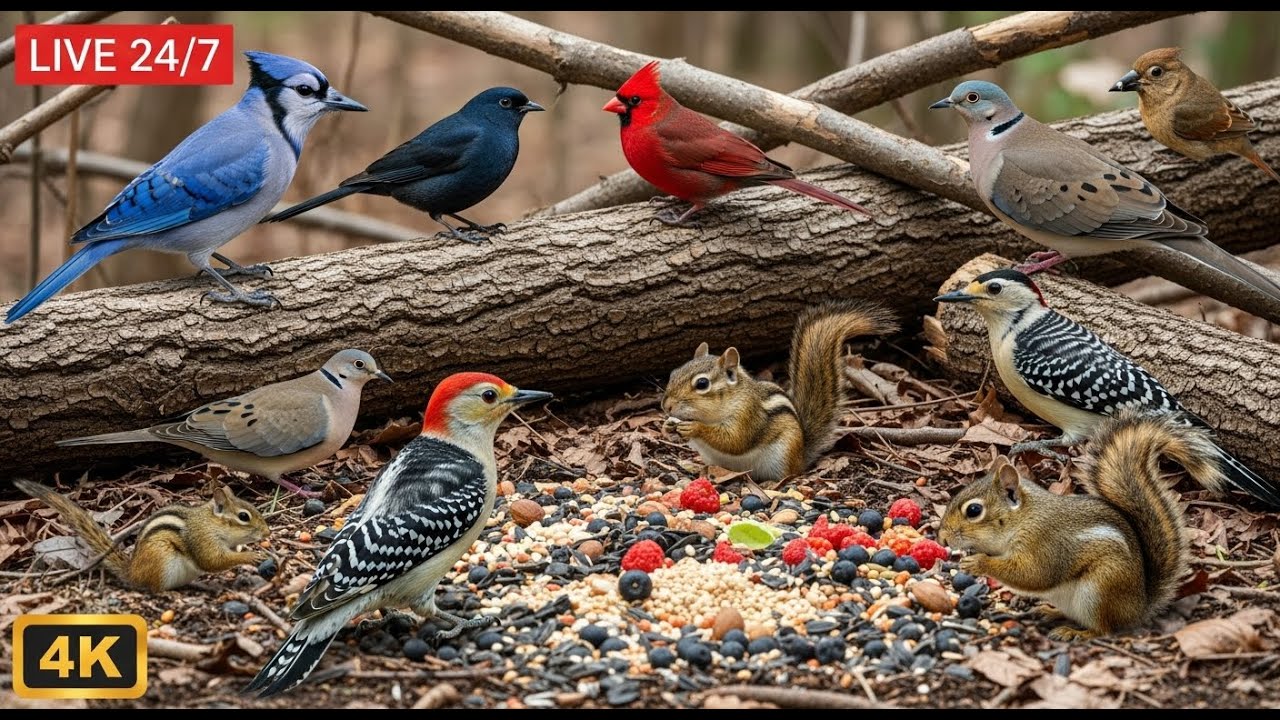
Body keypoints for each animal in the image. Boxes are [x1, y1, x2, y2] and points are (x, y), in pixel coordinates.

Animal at [15, 479, 269, 593]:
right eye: (244, 516)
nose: (267, 531)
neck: (211, 523)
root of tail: (132, 572)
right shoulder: (202, 540)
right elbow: (213, 561)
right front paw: (250, 556)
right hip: (162, 559)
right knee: (154, 588)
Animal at [661, 300, 897, 482]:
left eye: (702, 384)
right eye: (673, 373)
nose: (666, 406)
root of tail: (802, 456)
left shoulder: (748, 415)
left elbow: (734, 440)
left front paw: (695, 428)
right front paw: (667, 426)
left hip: (782, 455)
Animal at [938, 408, 1204, 640]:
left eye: (974, 510)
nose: (941, 537)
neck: (1023, 519)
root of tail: (1138, 607)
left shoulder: (1045, 543)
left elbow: (1033, 575)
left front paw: (979, 563)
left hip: (1100, 590)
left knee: (1104, 629)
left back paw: (1076, 633)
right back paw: (1050, 612)